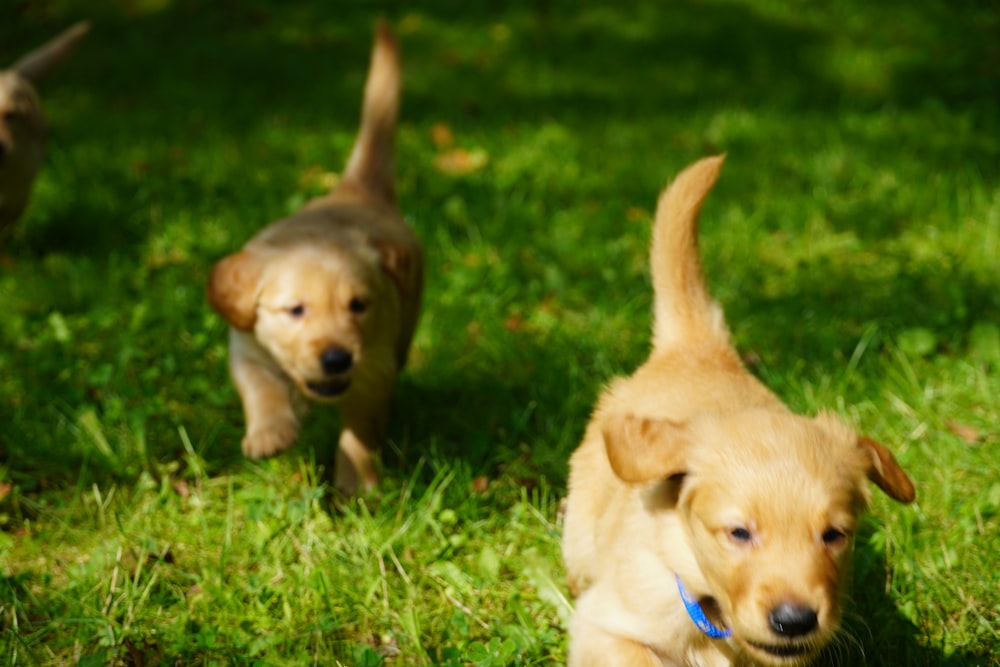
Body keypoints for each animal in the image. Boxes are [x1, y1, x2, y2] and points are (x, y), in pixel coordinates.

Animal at [209, 22, 420, 496]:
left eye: (359, 306)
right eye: (295, 311)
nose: (337, 359)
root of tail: (354, 190)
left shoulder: (373, 368)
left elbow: (358, 433)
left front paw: (356, 484)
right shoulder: (245, 346)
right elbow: (260, 388)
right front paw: (270, 432)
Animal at [564, 157, 916, 667]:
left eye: (834, 535)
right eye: (738, 533)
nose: (795, 621)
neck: (714, 615)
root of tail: (698, 342)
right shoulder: (604, 625)